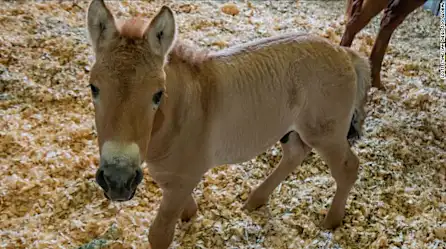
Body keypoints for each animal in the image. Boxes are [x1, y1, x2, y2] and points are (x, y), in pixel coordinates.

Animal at [85, 0, 372, 248]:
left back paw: (331, 221)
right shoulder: (168, 174)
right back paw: (256, 200)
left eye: (158, 94)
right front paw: (190, 214)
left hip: (325, 133)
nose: (117, 180)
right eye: (93, 88)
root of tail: (345, 53)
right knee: (294, 154)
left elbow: (160, 234)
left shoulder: (184, 177)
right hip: (292, 129)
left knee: (347, 167)